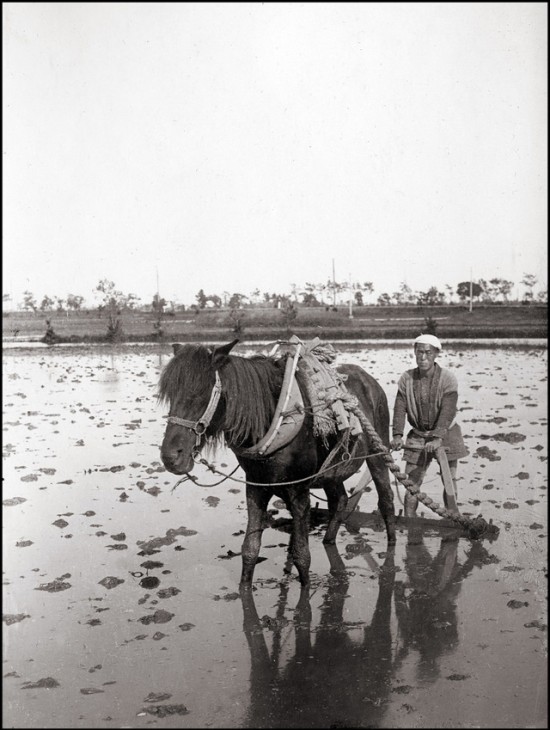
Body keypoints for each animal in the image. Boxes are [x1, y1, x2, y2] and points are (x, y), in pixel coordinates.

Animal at [160, 338, 396, 588]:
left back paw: (391, 554)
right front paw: (245, 587)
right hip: (332, 471)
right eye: (170, 395)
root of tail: (368, 380)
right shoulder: (256, 486)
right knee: (339, 501)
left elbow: (302, 556)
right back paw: (329, 541)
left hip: (378, 452)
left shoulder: (299, 490)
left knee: (386, 500)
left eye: (200, 393)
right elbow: (250, 550)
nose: (170, 456)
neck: (272, 419)